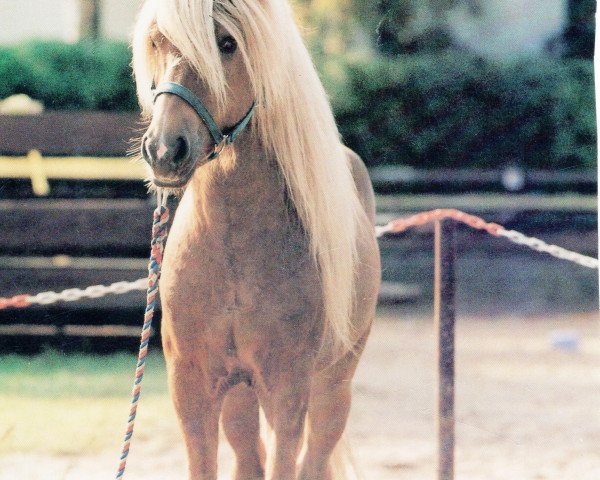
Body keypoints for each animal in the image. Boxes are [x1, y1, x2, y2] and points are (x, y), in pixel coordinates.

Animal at [134, 1, 382, 478]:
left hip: (334, 386)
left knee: (314, 458)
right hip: (239, 397)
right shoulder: (191, 389)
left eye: (227, 43)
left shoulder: (287, 394)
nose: (164, 150)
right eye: (157, 41)